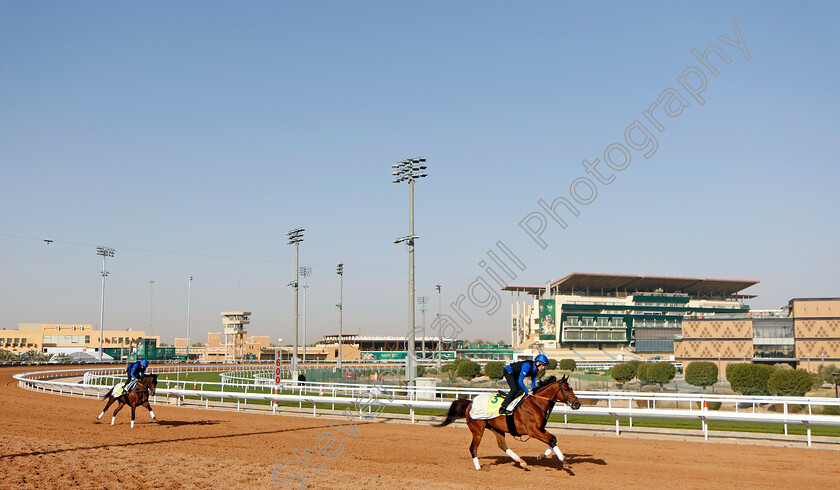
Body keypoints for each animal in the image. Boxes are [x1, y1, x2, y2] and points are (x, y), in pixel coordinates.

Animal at [436, 376, 580, 470]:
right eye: (566, 389)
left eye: (572, 388)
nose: (577, 404)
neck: (536, 404)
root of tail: (470, 402)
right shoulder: (533, 431)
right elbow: (551, 440)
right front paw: (564, 461)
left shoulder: (539, 429)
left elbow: (553, 439)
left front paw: (542, 456)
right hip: (477, 430)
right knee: (473, 448)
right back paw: (478, 468)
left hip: (496, 428)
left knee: (502, 445)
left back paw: (521, 462)